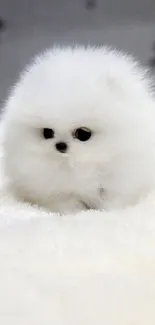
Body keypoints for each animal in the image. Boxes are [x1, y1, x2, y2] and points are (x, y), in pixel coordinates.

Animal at [1, 45, 155, 213]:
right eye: (47, 132)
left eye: (83, 133)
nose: (60, 145)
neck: (79, 163)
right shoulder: (56, 190)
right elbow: (68, 204)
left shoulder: (118, 182)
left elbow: (111, 202)